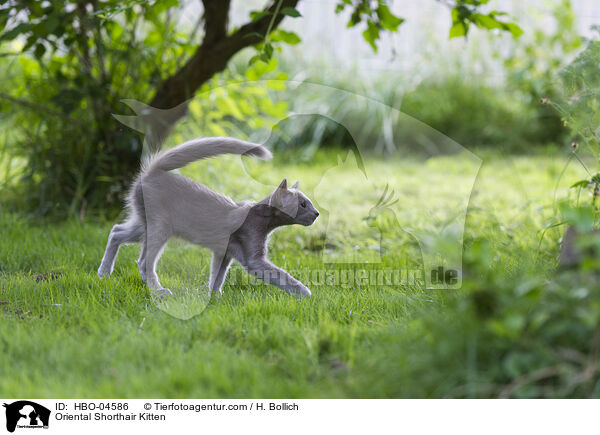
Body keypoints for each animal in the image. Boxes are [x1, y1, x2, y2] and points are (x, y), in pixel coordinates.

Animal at [97, 138, 318, 298]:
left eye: (309, 202)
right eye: (303, 204)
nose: (317, 213)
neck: (261, 219)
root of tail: (151, 173)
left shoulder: (224, 253)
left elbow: (217, 275)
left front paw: (214, 296)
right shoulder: (253, 260)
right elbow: (281, 275)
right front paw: (305, 293)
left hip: (143, 224)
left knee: (116, 231)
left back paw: (104, 272)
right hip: (160, 228)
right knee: (144, 262)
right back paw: (159, 292)